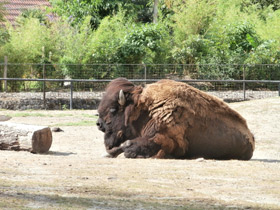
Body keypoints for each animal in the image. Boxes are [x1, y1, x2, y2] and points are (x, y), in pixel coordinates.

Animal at [97, 78, 255, 160]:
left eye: (113, 109)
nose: (99, 124)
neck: (145, 109)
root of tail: (251, 137)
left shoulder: (167, 138)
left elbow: (129, 144)